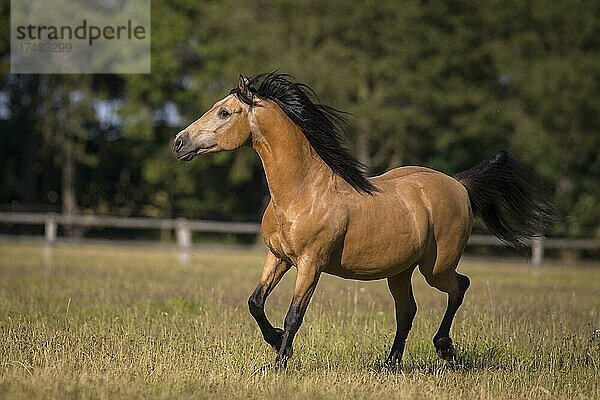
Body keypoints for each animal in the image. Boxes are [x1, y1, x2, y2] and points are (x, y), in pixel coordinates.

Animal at [172, 72, 552, 368]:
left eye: (224, 112)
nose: (179, 142)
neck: (303, 191)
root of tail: (458, 184)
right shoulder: (278, 257)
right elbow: (255, 303)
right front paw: (276, 341)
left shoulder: (311, 264)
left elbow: (294, 314)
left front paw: (278, 363)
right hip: (400, 271)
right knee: (407, 311)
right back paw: (390, 364)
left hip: (436, 268)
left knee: (460, 286)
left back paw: (444, 349)